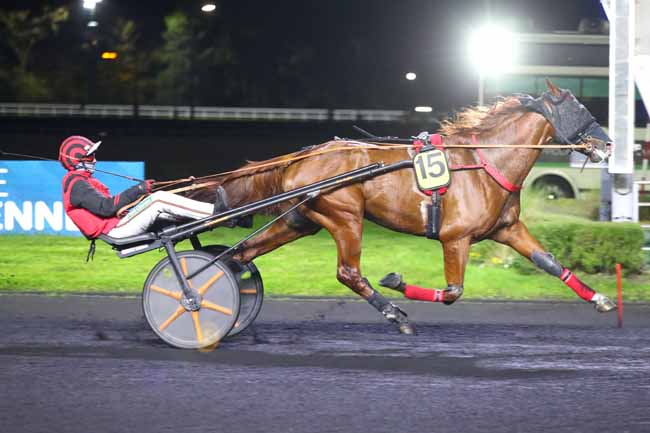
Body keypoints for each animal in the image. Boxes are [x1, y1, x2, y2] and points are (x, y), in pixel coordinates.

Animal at [186, 79, 612, 332]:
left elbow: (550, 262)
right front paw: (397, 282)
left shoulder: (507, 229)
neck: (486, 161)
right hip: (344, 216)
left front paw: (602, 299)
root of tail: (301, 157)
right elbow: (453, 291)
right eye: (579, 109)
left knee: (242, 253)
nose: (607, 144)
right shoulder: (455, 237)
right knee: (348, 272)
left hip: (300, 220)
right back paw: (393, 312)